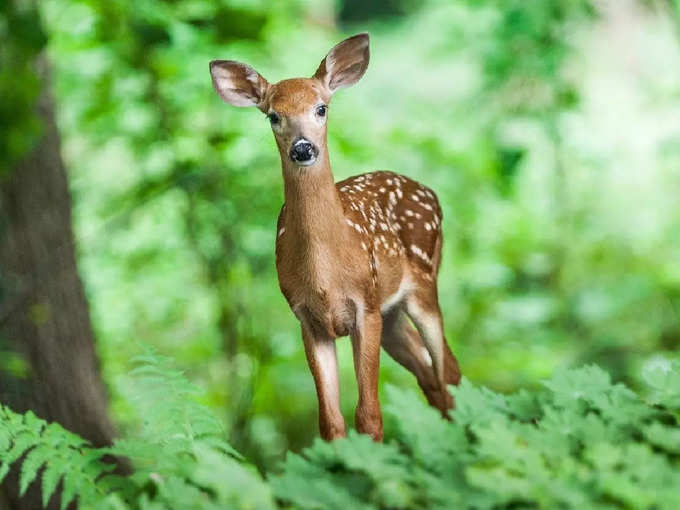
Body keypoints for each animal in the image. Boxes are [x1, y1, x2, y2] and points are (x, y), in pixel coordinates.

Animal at [210, 32, 460, 442]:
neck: (326, 273)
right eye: (273, 115)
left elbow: (369, 416)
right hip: (392, 314)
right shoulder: (308, 320)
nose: (303, 148)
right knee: (431, 376)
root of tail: (431, 193)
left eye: (321, 108)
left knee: (448, 371)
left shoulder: (365, 306)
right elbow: (330, 422)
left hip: (422, 283)